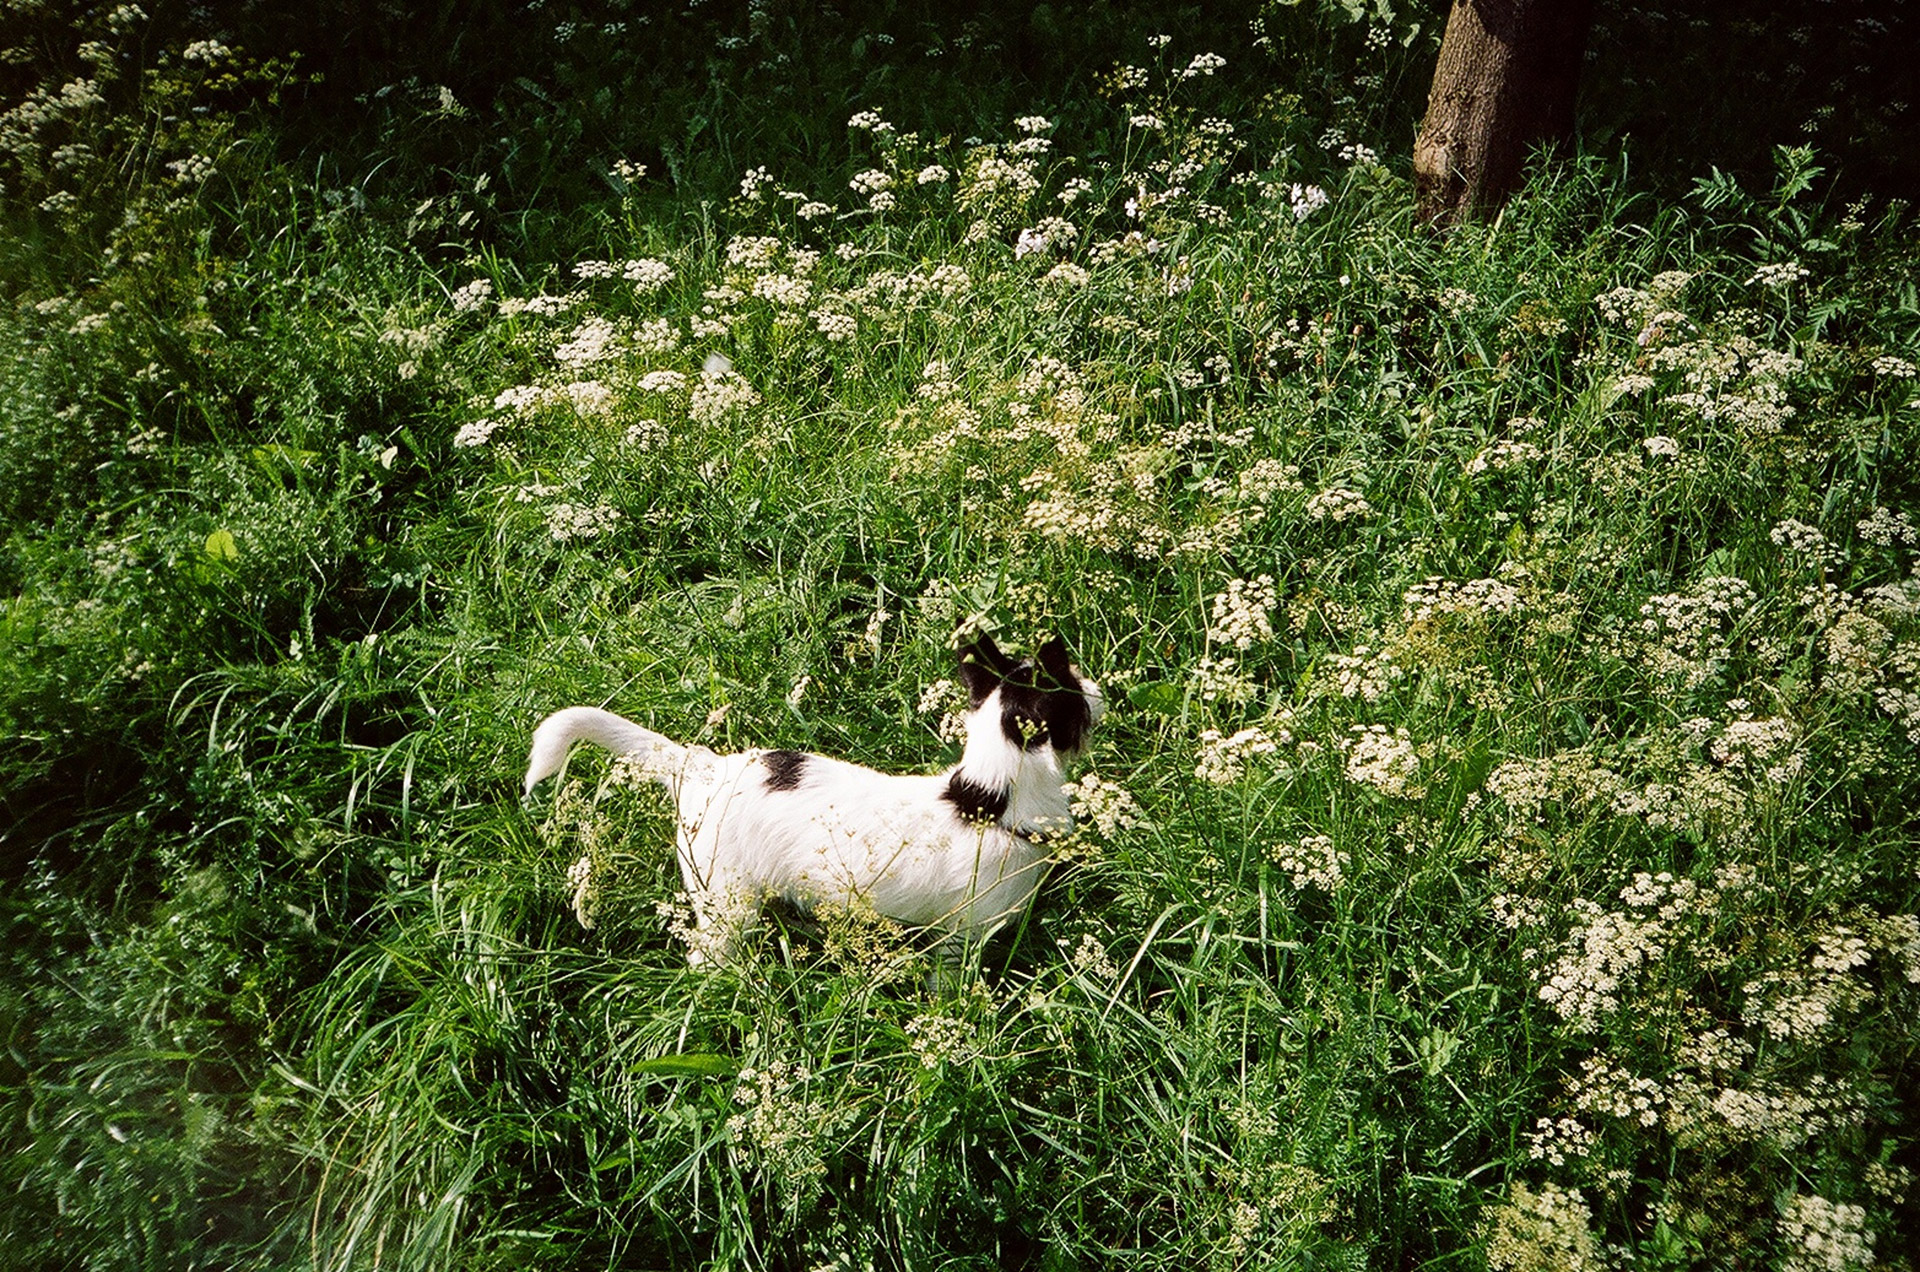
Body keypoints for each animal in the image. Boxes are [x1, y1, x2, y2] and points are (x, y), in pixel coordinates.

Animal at [526, 634, 1105, 972]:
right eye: (1073, 684)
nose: (1099, 687)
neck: (986, 798)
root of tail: (703, 769)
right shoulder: (963, 937)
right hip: (725, 907)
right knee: (706, 957)